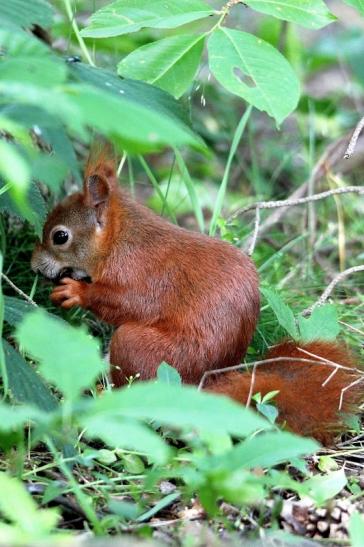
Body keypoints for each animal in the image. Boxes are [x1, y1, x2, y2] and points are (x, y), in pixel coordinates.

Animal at [30, 147, 362, 446]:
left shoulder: (141, 275)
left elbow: (128, 304)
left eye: (60, 236)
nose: (33, 264)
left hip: (145, 351)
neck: (120, 240)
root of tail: (200, 386)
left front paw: (76, 291)